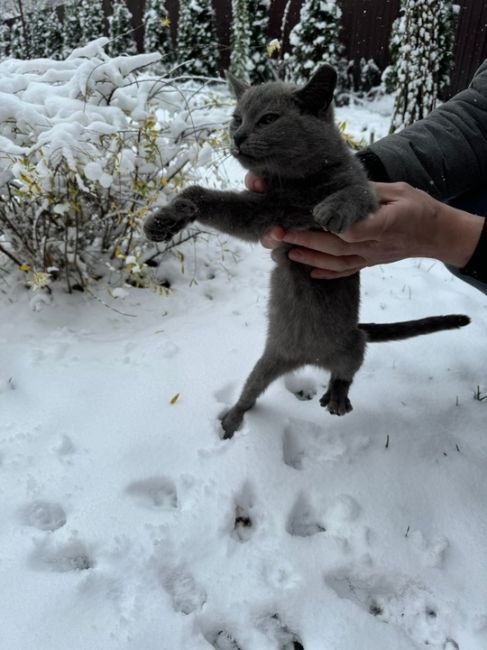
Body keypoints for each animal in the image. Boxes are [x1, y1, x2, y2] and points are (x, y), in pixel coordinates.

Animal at [143, 66, 470, 438]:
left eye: (268, 119)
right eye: (236, 118)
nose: (238, 136)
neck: (301, 184)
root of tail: (307, 358)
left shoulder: (365, 194)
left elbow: (357, 192)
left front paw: (332, 209)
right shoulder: (263, 214)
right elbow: (200, 194)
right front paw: (163, 221)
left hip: (351, 345)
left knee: (348, 369)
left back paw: (337, 397)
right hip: (268, 360)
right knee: (251, 392)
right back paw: (231, 421)